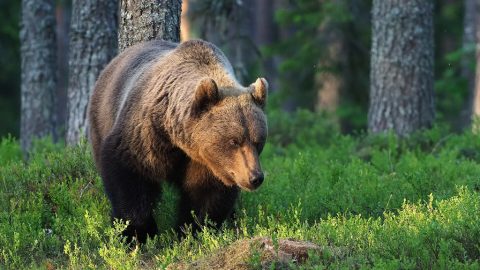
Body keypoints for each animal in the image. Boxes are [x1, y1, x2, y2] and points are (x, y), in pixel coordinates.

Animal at [88, 38, 268, 243]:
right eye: (234, 141)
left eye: (258, 141)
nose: (255, 177)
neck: (179, 139)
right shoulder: (145, 135)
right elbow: (128, 175)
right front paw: (137, 233)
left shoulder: (208, 162)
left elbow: (206, 195)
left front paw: (192, 231)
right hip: (101, 120)